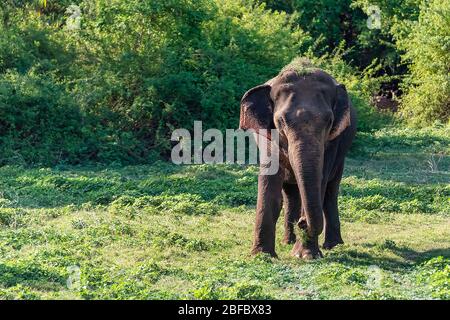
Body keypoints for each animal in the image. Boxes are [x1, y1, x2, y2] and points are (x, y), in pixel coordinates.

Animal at [237, 58, 356, 260]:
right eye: (281, 121)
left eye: (329, 121)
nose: (302, 222)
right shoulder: (268, 137)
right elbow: (270, 187)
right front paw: (262, 256)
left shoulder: (332, 143)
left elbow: (320, 182)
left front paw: (306, 255)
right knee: (291, 194)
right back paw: (288, 241)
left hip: (342, 153)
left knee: (330, 192)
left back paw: (332, 245)